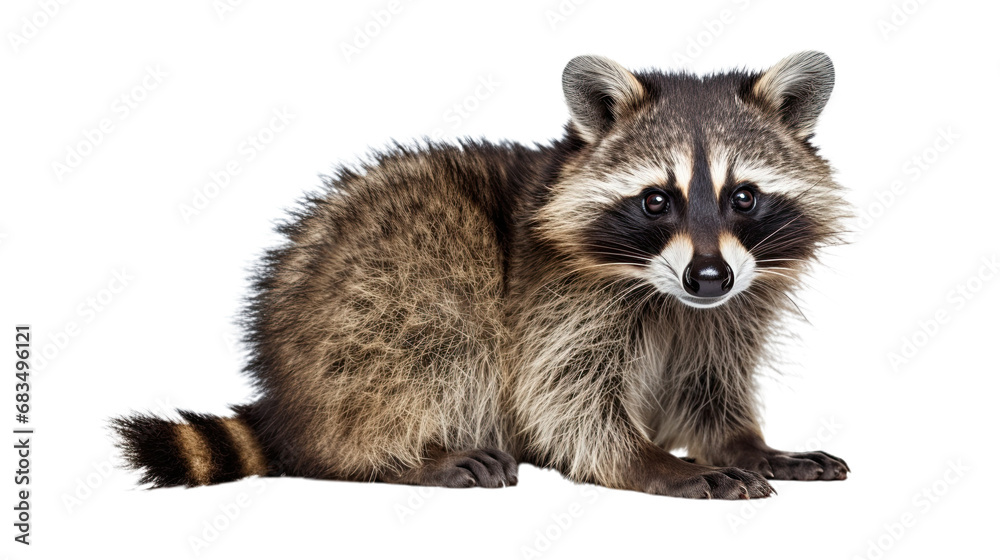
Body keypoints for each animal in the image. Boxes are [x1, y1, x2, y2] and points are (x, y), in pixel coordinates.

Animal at [114, 51, 850, 499]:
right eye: (655, 201)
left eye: (743, 197)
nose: (708, 277)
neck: (666, 293)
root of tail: (287, 398)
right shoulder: (559, 297)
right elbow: (564, 399)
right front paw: (648, 463)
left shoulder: (728, 310)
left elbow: (710, 385)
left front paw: (747, 446)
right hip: (375, 295)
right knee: (440, 334)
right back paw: (394, 455)